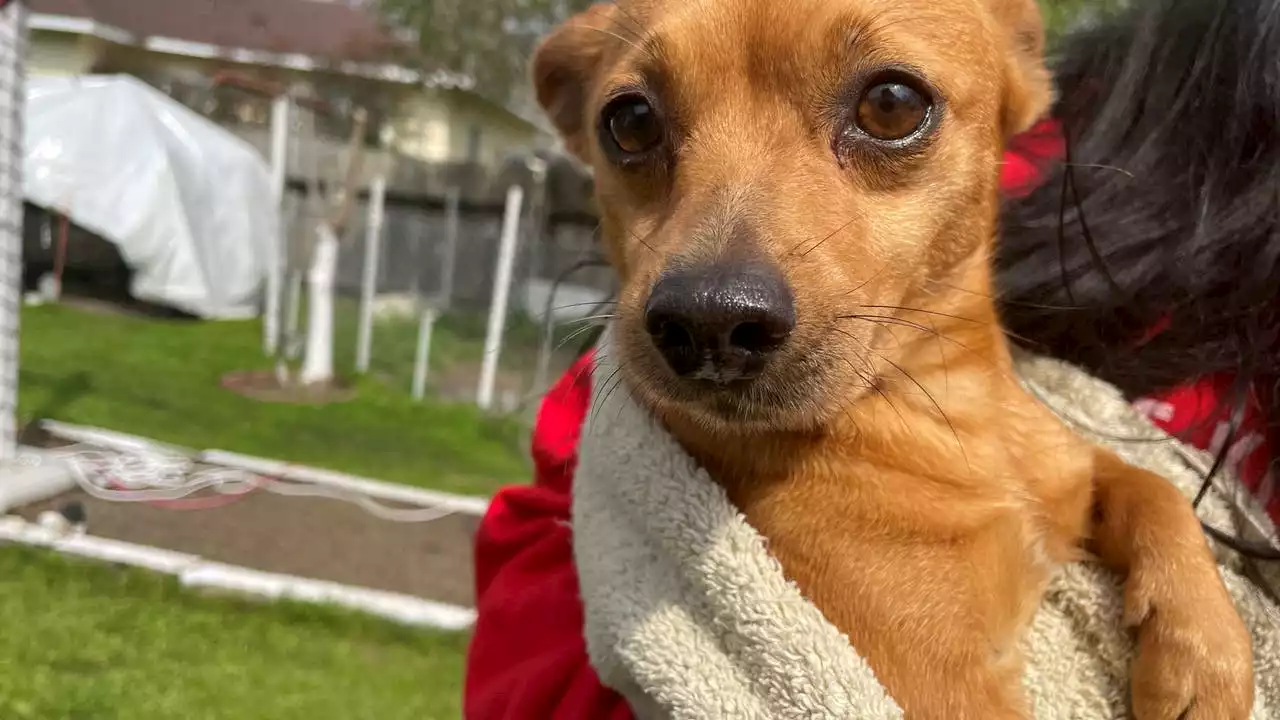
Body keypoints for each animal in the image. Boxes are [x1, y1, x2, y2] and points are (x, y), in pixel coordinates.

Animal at [527, 2, 1249, 712]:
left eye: (892, 105)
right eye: (630, 121)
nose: (709, 320)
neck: (952, 415)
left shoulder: (1073, 468)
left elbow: (1153, 488)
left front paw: (1205, 650)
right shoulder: (943, 692)